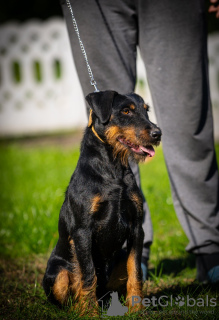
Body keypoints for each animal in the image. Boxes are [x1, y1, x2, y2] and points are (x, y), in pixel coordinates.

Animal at [43, 90, 161, 316]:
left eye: (146, 110)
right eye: (126, 111)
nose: (157, 133)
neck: (112, 169)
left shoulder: (136, 228)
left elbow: (135, 272)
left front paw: (137, 309)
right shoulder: (83, 231)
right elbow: (88, 274)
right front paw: (89, 313)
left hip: (120, 258)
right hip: (58, 273)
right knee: (69, 293)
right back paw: (79, 309)